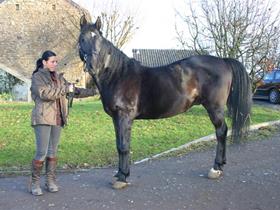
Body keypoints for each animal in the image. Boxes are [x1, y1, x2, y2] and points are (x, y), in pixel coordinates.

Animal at [78, 16, 252, 189]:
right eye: (82, 39)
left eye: (98, 39)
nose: (92, 66)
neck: (118, 75)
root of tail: (223, 60)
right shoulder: (116, 118)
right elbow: (119, 144)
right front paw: (120, 174)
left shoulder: (124, 116)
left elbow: (123, 146)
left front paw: (122, 177)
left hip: (214, 108)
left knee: (221, 132)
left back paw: (216, 168)